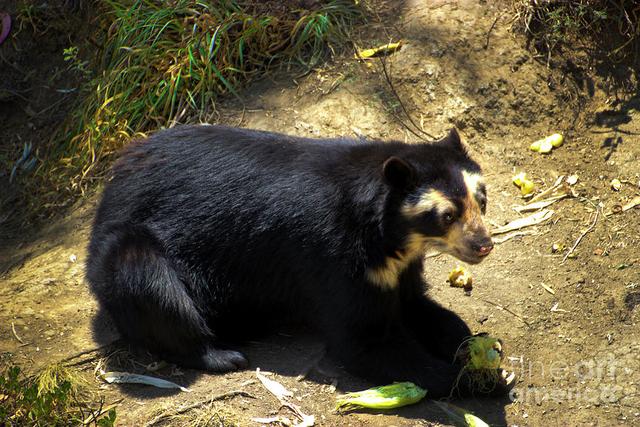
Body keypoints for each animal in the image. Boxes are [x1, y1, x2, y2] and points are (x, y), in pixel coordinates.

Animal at [86, 125, 516, 400]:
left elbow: (416, 305)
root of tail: (107, 192)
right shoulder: (334, 258)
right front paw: (480, 381)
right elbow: (365, 339)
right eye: (446, 215)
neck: (393, 239)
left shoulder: (398, 267)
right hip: (129, 247)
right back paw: (222, 354)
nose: (483, 246)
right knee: (150, 284)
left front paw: (474, 347)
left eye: (481, 200)